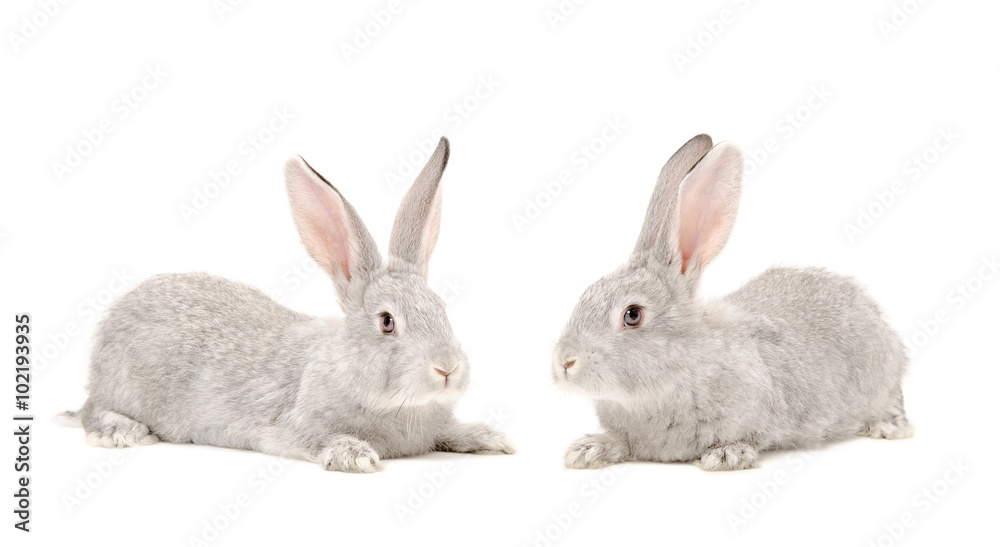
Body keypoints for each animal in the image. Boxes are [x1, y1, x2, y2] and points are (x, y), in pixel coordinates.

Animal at [59, 137, 513, 472]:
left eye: (442, 309)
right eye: (387, 322)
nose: (447, 368)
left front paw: (491, 438)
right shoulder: (294, 426)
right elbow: (314, 439)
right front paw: (355, 455)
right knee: (90, 411)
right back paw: (121, 431)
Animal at [551, 134, 912, 471]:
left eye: (632, 315)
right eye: (584, 297)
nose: (563, 364)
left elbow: (749, 436)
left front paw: (726, 456)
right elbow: (619, 441)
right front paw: (587, 450)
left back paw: (890, 427)